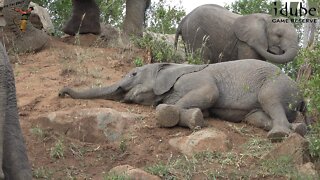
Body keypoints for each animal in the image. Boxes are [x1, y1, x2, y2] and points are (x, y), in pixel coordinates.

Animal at [60, 59, 308, 141]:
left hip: (277, 85)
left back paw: (278, 135)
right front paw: (197, 118)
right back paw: (297, 129)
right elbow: (205, 108)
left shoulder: (198, 79)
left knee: (269, 100)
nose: (61, 92)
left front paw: (168, 113)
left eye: (133, 73)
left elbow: (210, 93)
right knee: (256, 116)